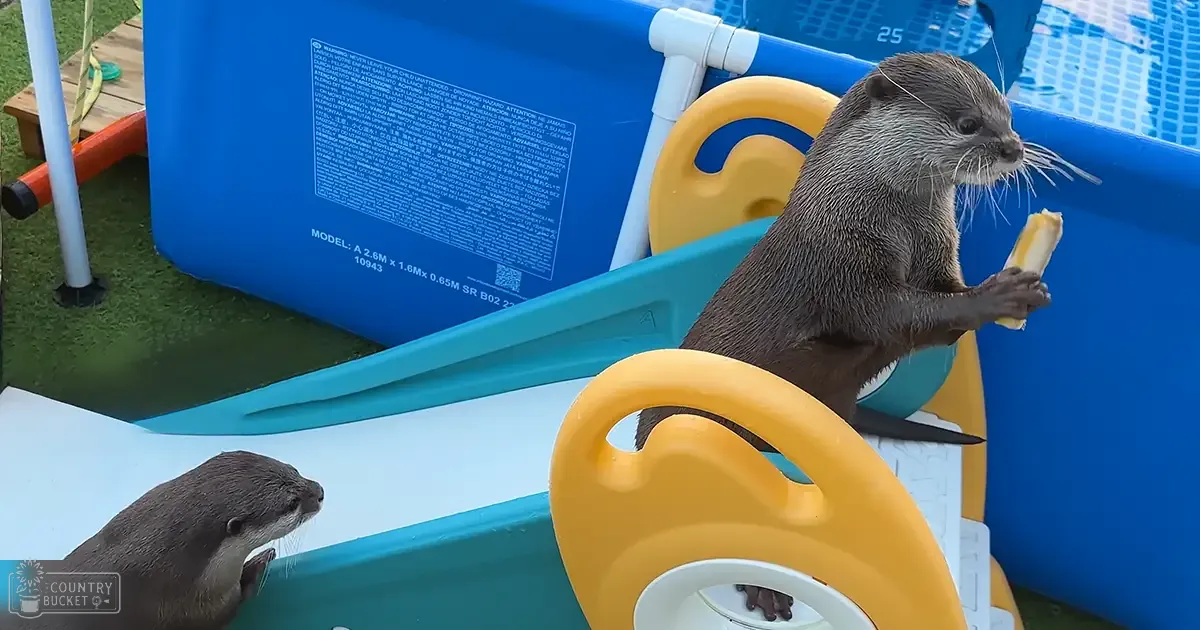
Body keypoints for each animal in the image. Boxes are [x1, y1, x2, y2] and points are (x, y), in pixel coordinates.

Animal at [3, 450, 323, 630]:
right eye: (291, 503)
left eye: (294, 469)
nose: (319, 491)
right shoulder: (192, 609)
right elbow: (233, 606)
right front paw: (258, 564)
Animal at [635, 52, 1049, 621]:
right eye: (968, 123)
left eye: (1008, 116)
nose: (1013, 148)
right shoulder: (842, 265)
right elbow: (890, 316)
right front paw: (1000, 294)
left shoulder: (938, 252)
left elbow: (938, 320)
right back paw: (767, 590)